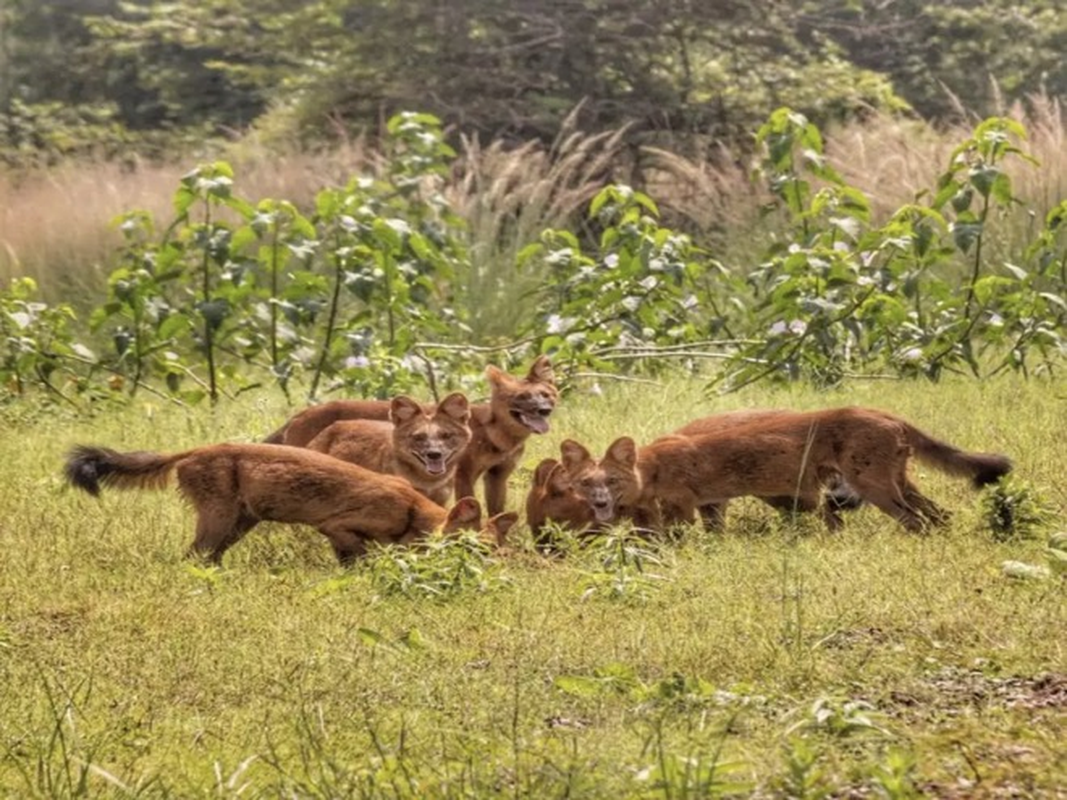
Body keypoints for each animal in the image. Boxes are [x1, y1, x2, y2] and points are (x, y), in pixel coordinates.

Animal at [64, 441, 518, 567]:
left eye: (496, 548)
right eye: (475, 548)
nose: (498, 567)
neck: (411, 510)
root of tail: (194, 449)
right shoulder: (337, 527)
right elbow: (358, 560)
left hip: (238, 523)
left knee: (209, 557)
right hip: (219, 518)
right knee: (193, 557)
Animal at [559, 409, 1007, 535]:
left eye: (611, 481)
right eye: (586, 483)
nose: (599, 501)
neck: (650, 468)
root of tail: (885, 413)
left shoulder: (683, 509)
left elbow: (674, 540)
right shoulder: (712, 504)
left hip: (873, 487)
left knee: (916, 521)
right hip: (894, 484)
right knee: (939, 516)